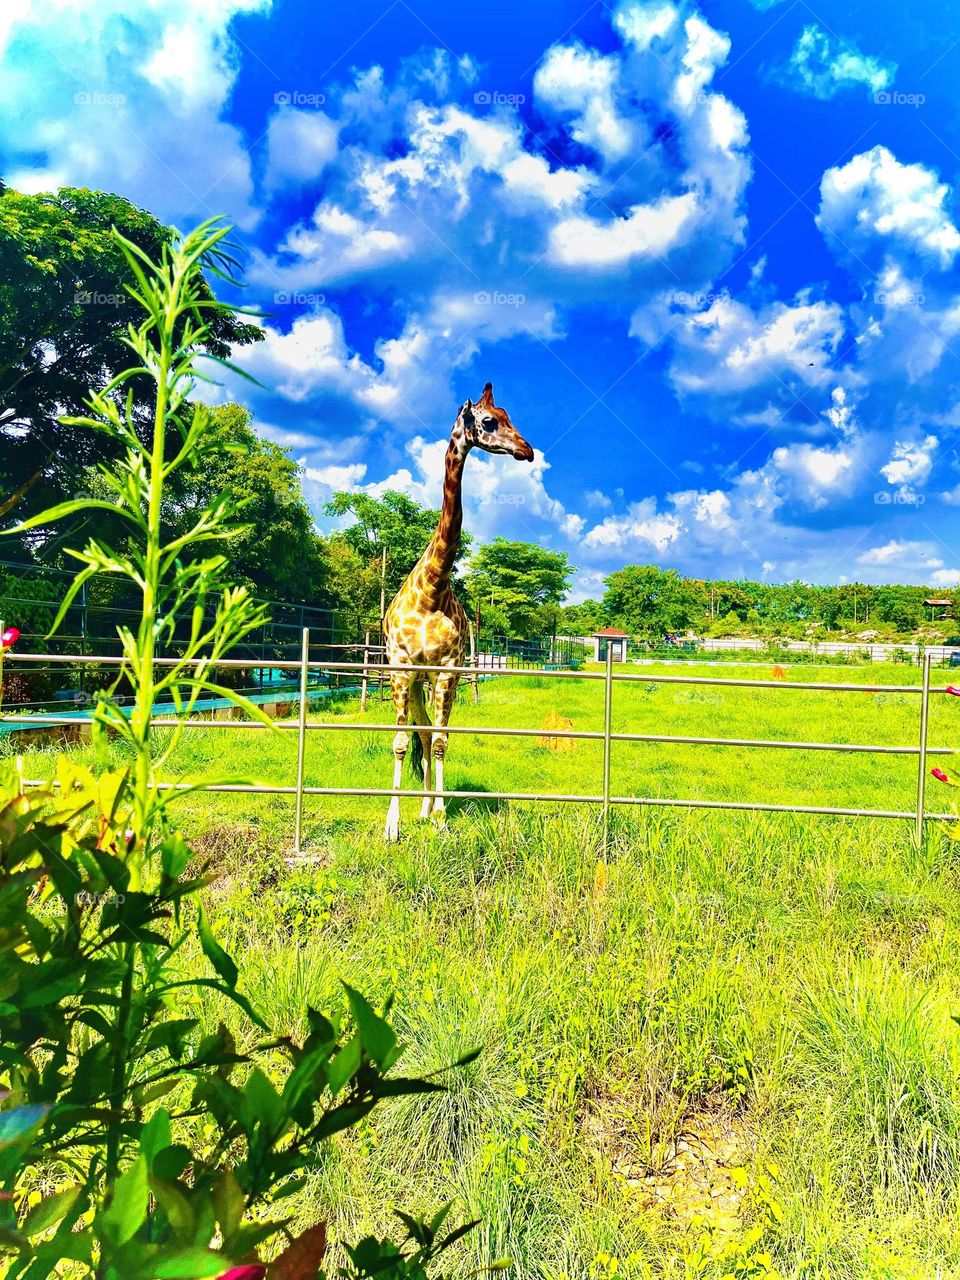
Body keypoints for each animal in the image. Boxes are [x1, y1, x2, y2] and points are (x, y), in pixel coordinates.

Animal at [381, 378, 535, 839]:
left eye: (508, 416)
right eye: (489, 421)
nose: (527, 449)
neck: (432, 588)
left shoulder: (448, 668)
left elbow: (440, 741)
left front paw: (440, 818)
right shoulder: (400, 667)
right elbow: (402, 742)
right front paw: (392, 825)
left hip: (434, 680)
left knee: (432, 735)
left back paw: (428, 807)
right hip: (415, 680)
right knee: (418, 733)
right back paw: (417, 808)